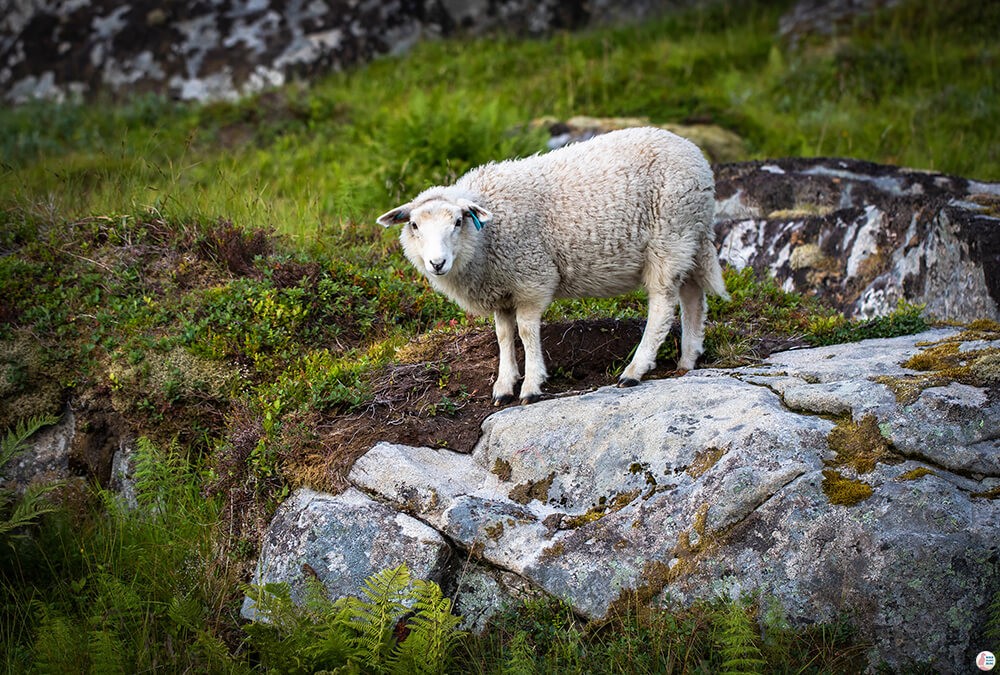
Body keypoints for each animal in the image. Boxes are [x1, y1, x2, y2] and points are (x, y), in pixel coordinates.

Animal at [378, 127, 732, 406]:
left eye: (457, 221)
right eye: (413, 225)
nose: (437, 263)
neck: (487, 237)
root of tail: (695, 155)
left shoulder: (531, 277)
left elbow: (526, 331)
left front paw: (532, 385)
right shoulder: (500, 287)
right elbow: (503, 334)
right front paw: (504, 385)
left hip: (669, 237)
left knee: (663, 304)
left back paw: (635, 370)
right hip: (688, 237)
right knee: (692, 297)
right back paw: (687, 359)